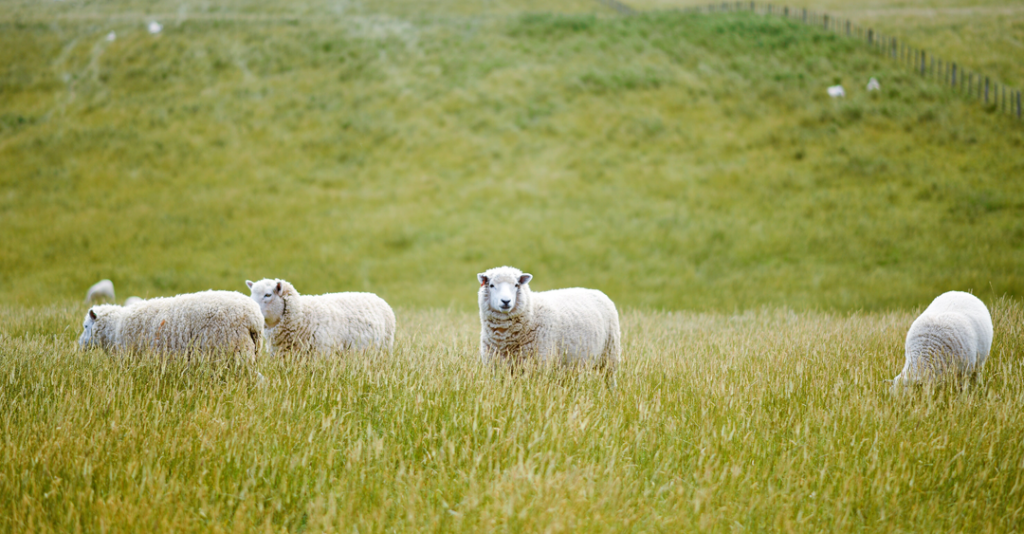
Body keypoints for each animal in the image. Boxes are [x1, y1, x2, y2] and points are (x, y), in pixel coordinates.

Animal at [243, 276, 395, 356]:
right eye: (251, 294)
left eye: (268, 295)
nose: (251, 308)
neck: (302, 315)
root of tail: (376, 296)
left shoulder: (322, 354)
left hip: (384, 348)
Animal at [475, 264, 618, 383]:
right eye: (491, 285)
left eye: (516, 285)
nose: (506, 301)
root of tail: (596, 291)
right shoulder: (496, 366)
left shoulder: (539, 364)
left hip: (609, 355)